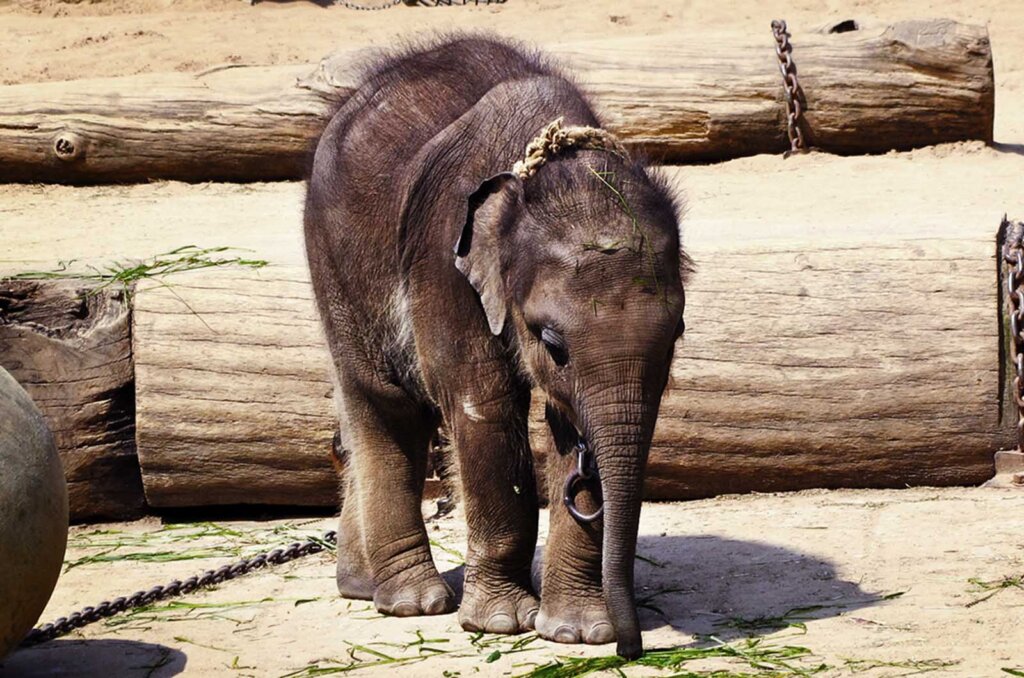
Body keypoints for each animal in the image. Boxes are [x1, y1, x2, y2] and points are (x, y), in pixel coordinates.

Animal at [303, 35, 687, 659]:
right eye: (551, 340)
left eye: (677, 333)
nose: (631, 648)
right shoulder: (444, 261)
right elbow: (482, 405)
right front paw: (503, 624)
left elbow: (563, 425)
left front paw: (578, 633)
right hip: (334, 262)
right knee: (382, 404)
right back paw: (412, 602)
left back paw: (361, 585)